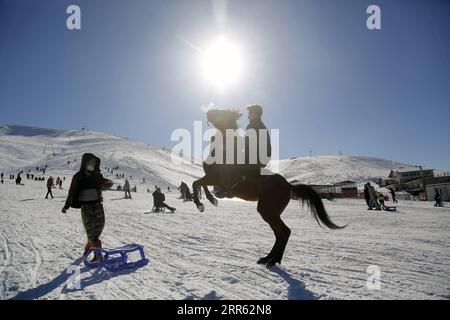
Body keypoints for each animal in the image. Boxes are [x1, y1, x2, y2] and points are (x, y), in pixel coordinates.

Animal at [192, 110, 342, 268]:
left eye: (222, 112)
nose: (209, 113)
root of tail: (288, 185)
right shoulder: (210, 178)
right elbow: (200, 184)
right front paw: (211, 199)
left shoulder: (214, 177)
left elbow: (196, 183)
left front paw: (200, 204)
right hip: (271, 213)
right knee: (279, 233)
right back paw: (268, 258)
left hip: (267, 211)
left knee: (284, 232)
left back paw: (272, 260)